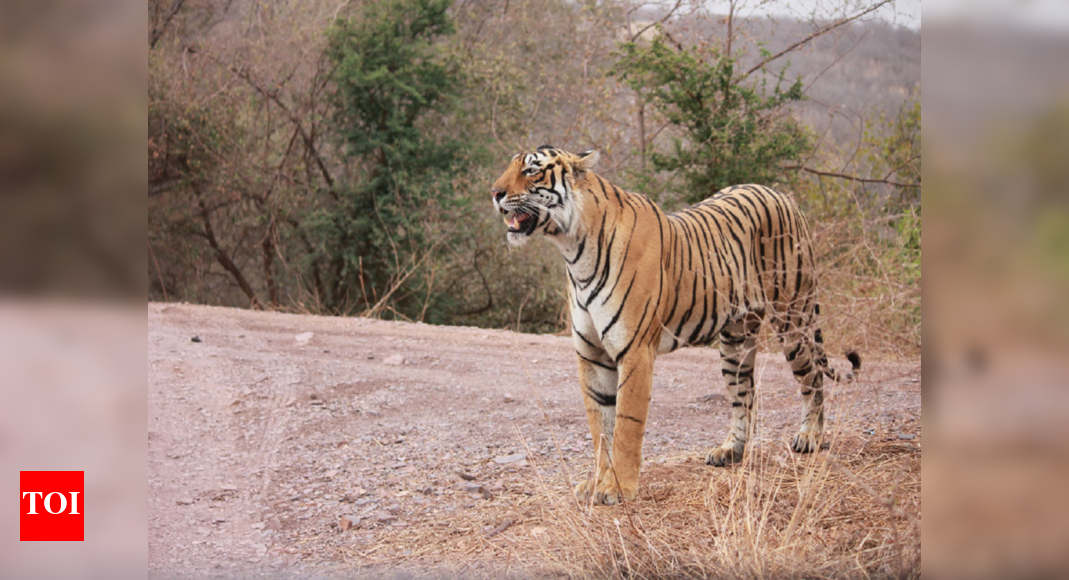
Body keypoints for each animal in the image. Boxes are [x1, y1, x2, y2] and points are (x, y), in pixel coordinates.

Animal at [491, 145, 860, 505]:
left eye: (531, 170)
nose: (494, 192)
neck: (573, 248)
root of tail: (783, 195)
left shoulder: (635, 351)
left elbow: (625, 425)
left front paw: (619, 488)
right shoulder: (591, 355)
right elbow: (600, 428)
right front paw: (597, 482)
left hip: (793, 316)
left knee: (812, 378)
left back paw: (809, 437)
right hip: (735, 341)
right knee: (744, 395)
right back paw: (731, 451)